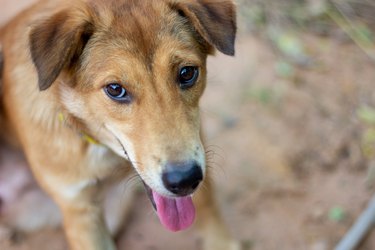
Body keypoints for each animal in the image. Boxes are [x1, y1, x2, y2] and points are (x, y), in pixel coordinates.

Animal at [0, 0, 239, 249]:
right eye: (115, 89)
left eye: (187, 73)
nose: (184, 180)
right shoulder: (79, 208)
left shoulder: (198, 145)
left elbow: (207, 204)